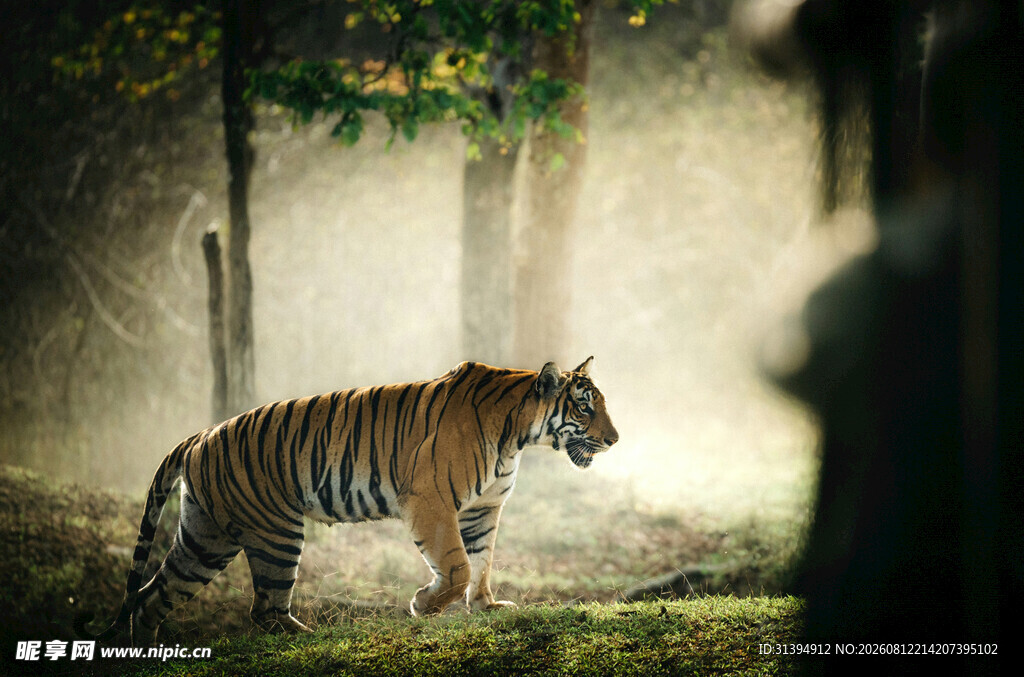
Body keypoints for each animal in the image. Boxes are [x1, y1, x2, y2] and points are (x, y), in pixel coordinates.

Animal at [75, 357, 618, 645]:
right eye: (584, 407)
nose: (614, 440)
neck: (518, 436)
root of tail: (199, 435)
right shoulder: (430, 500)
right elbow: (458, 566)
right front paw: (424, 605)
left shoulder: (483, 509)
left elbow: (481, 563)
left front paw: (486, 607)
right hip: (276, 532)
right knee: (263, 608)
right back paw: (311, 638)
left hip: (205, 538)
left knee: (153, 596)